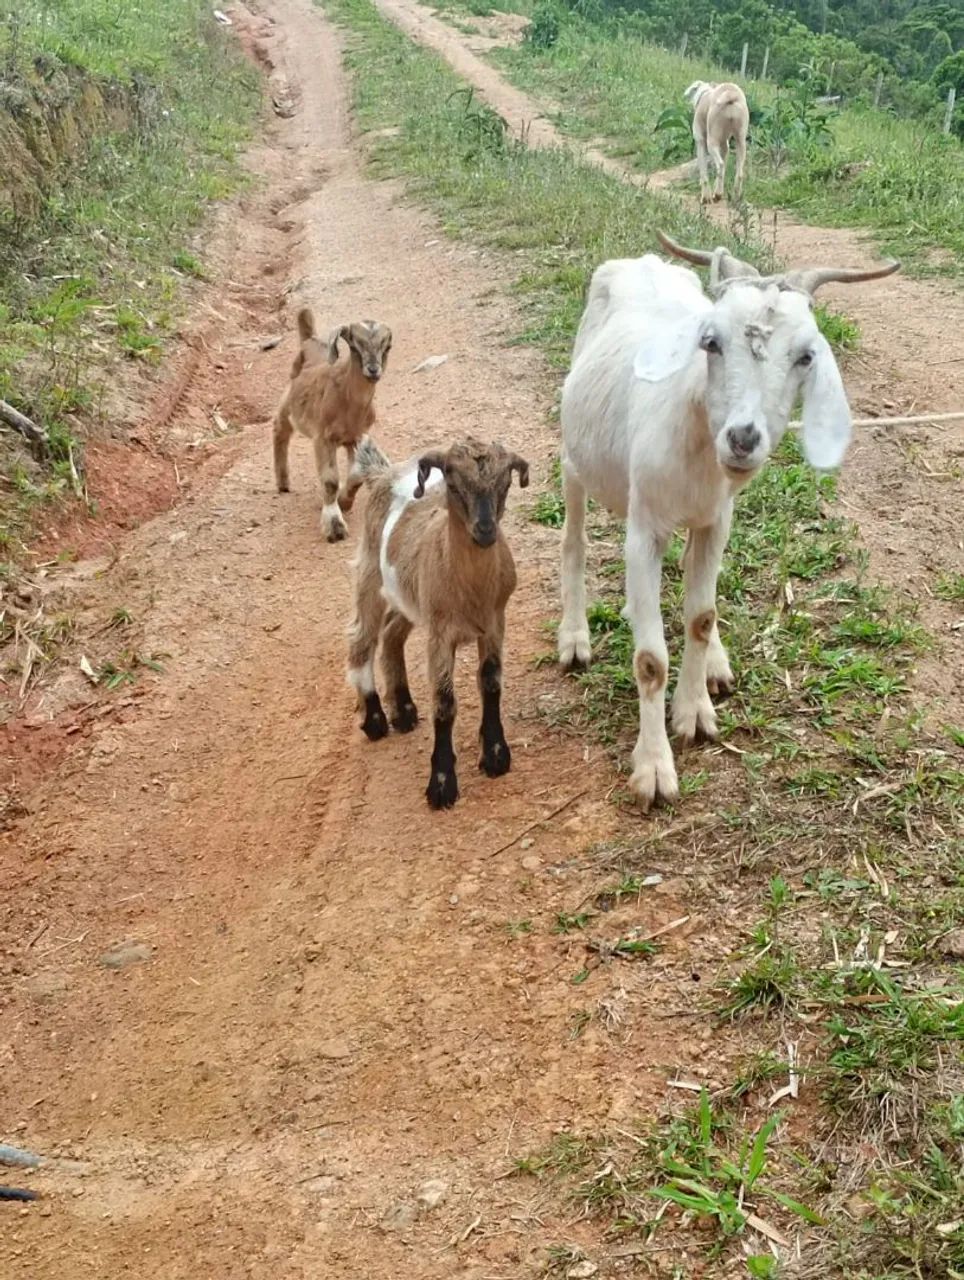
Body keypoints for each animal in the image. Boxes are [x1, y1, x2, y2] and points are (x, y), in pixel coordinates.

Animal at [273, 307, 393, 542]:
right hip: (289, 399)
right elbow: (330, 480)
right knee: (279, 427)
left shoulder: (356, 437)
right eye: (355, 344)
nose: (373, 369)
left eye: (387, 346)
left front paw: (345, 501)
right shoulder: (323, 438)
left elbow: (356, 475)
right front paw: (334, 526)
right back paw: (282, 483)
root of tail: (309, 340)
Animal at [347, 437, 528, 810]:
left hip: (409, 597)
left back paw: (403, 710)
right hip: (370, 573)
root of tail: (382, 473)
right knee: (362, 640)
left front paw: (495, 756)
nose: (485, 530)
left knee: (391, 635)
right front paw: (442, 784)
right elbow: (444, 703)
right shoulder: (441, 636)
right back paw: (375, 720)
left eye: (504, 485)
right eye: (453, 484)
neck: (471, 591)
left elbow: (491, 684)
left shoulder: (494, 623)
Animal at [557, 229, 899, 810]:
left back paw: (710, 663)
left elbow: (700, 616)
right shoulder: (645, 528)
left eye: (806, 356)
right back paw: (574, 638)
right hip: (573, 456)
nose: (743, 438)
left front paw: (693, 711)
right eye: (710, 342)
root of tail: (641, 261)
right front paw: (654, 769)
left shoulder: (717, 518)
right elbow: (650, 660)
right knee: (574, 542)